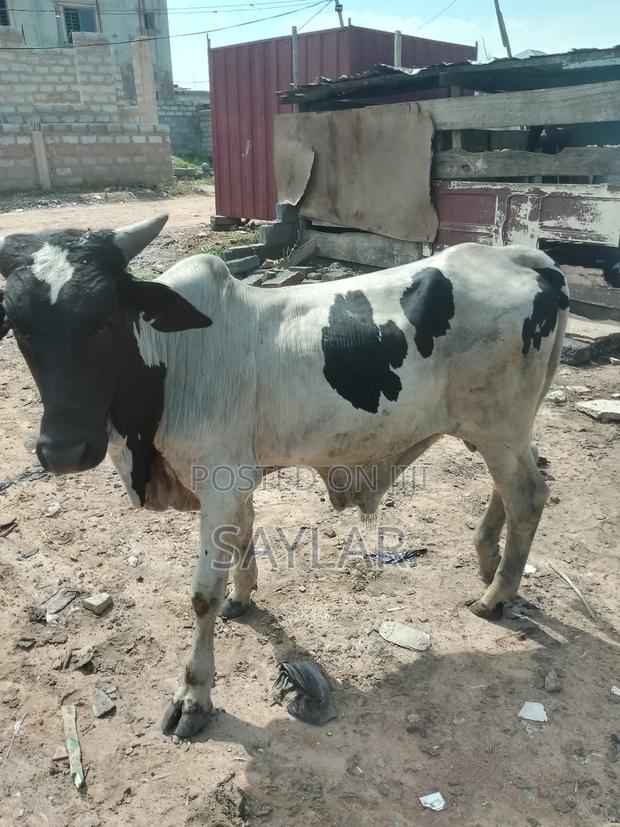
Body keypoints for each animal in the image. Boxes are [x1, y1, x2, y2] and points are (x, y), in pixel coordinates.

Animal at [0, 215, 569, 738]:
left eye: (104, 320)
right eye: (18, 322)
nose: (64, 450)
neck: (169, 361)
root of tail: (525, 259)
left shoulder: (220, 481)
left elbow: (202, 593)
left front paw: (194, 696)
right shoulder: (235, 481)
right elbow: (244, 540)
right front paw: (243, 596)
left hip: (498, 425)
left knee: (527, 496)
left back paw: (496, 596)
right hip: (501, 429)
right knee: (517, 484)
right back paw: (488, 561)